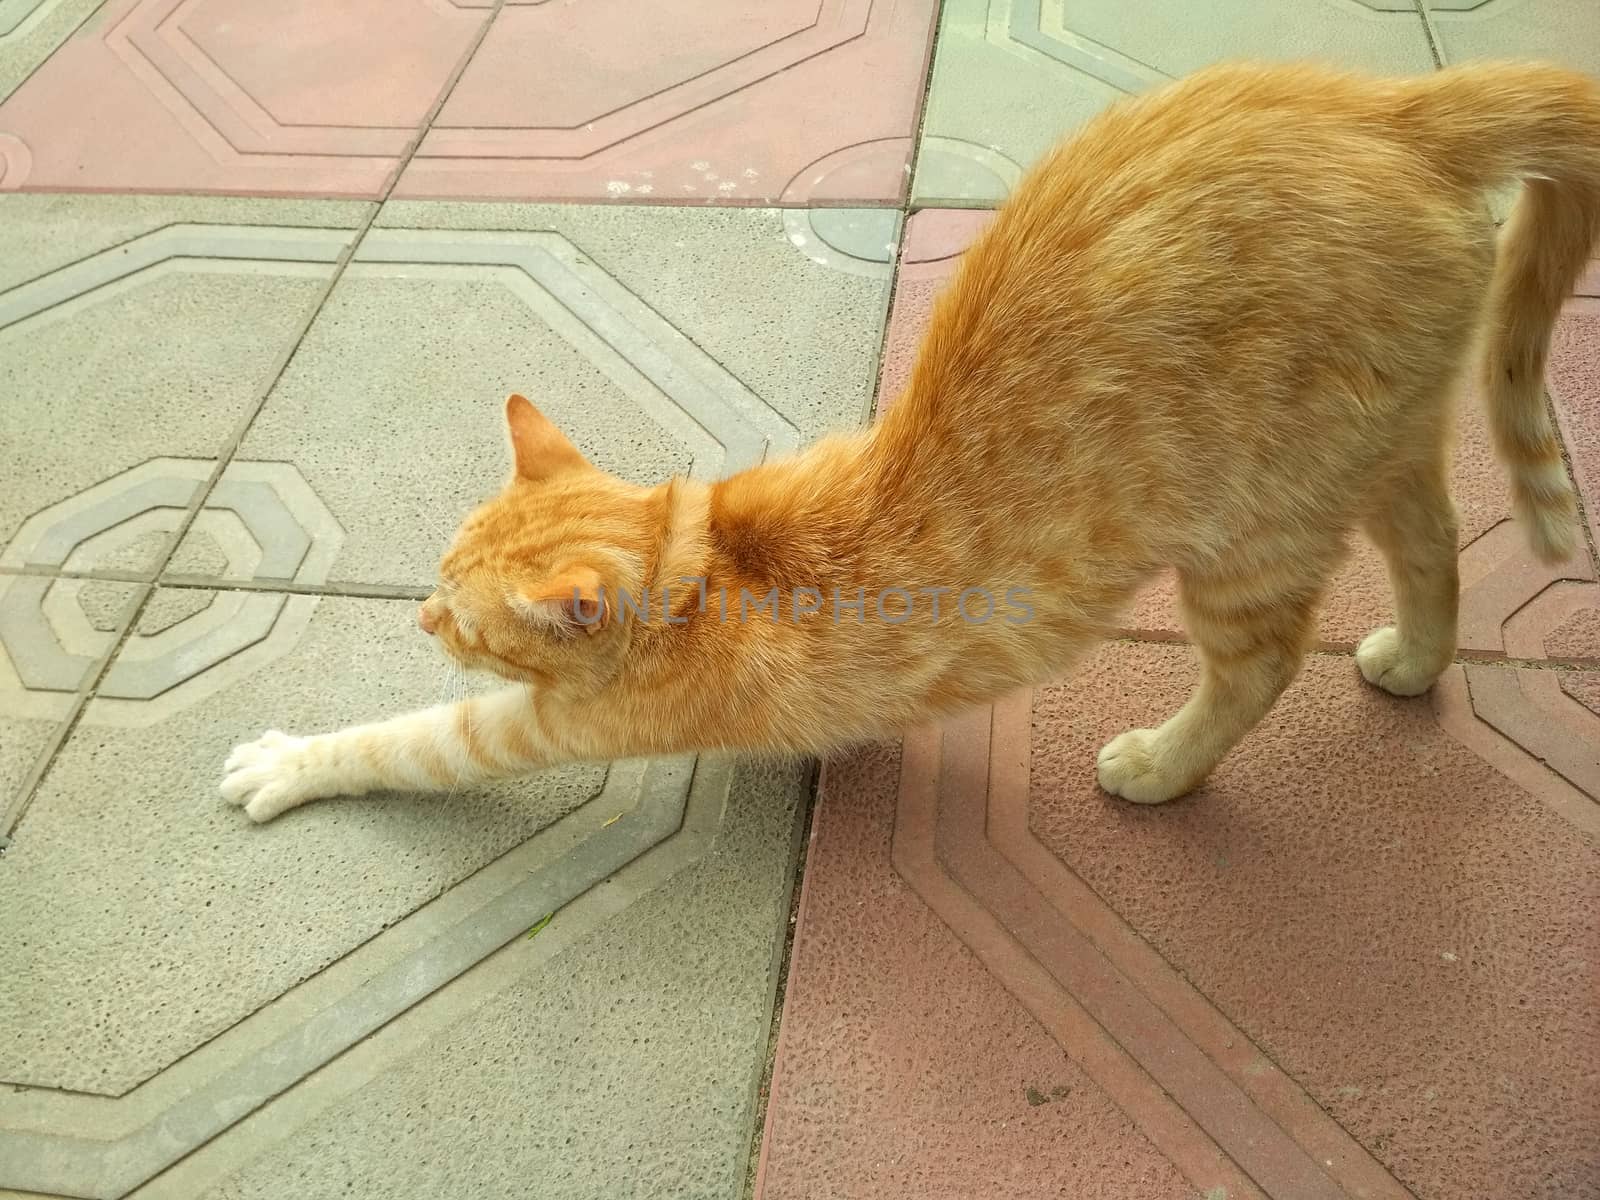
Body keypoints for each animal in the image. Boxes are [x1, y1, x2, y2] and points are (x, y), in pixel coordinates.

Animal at [222, 56, 1600, 825]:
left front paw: (291, 761)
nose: (416, 615)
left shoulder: (546, 726)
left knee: (1258, 668)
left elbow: (411, 744)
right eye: (435, 575)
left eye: (458, 618)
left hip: (1248, 535)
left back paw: (1164, 768)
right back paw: (1413, 661)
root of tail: (1396, 109)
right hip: (1370, 446)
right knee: (1434, 545)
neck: (705, 562)